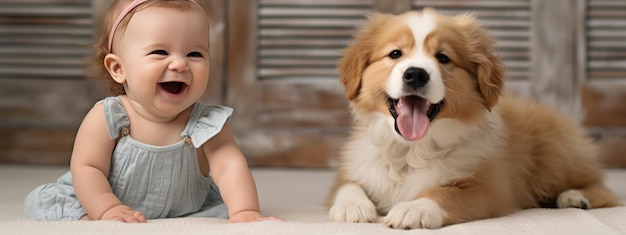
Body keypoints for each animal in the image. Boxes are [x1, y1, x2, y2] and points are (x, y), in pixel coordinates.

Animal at [326, 9, 620, 229]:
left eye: (443, 57)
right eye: (395, 54)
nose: (416, 74)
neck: (410, 151)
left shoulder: (489, 190)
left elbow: (445, 193)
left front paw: (414, 209)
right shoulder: (357, 166)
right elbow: (346, 185)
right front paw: (352, 207)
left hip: (555, 154)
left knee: (602, 186)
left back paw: (575, 196)